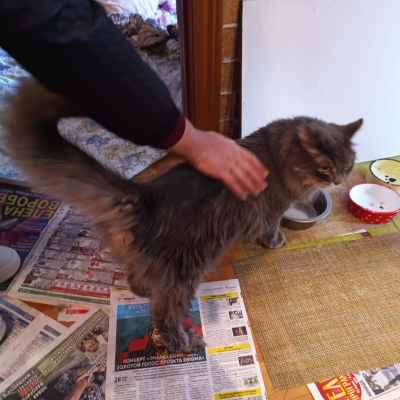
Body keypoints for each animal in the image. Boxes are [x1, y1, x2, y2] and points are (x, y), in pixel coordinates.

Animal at [1, 78, 362, 352]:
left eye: (346, 167)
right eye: (325, 168)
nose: (338, 181)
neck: (278, 155)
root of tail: (146, 195)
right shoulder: (272, 208)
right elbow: (270, 228)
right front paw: (276, 241)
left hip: (145, 261)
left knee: (139, 281)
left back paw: (143, 291)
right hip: (185, 271)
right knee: (164, 313)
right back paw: (181, 342)